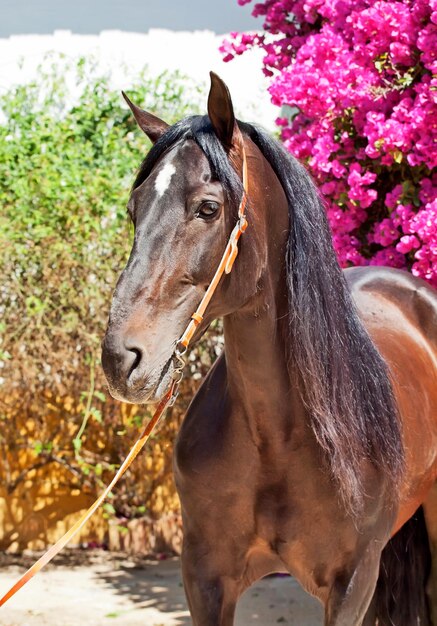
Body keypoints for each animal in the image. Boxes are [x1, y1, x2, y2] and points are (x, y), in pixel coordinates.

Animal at [102, 74, 436, 624]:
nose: (120, 359)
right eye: (134, 210)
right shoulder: (205, 579)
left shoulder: (353, 584)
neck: (277, 436)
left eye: (209, 208)